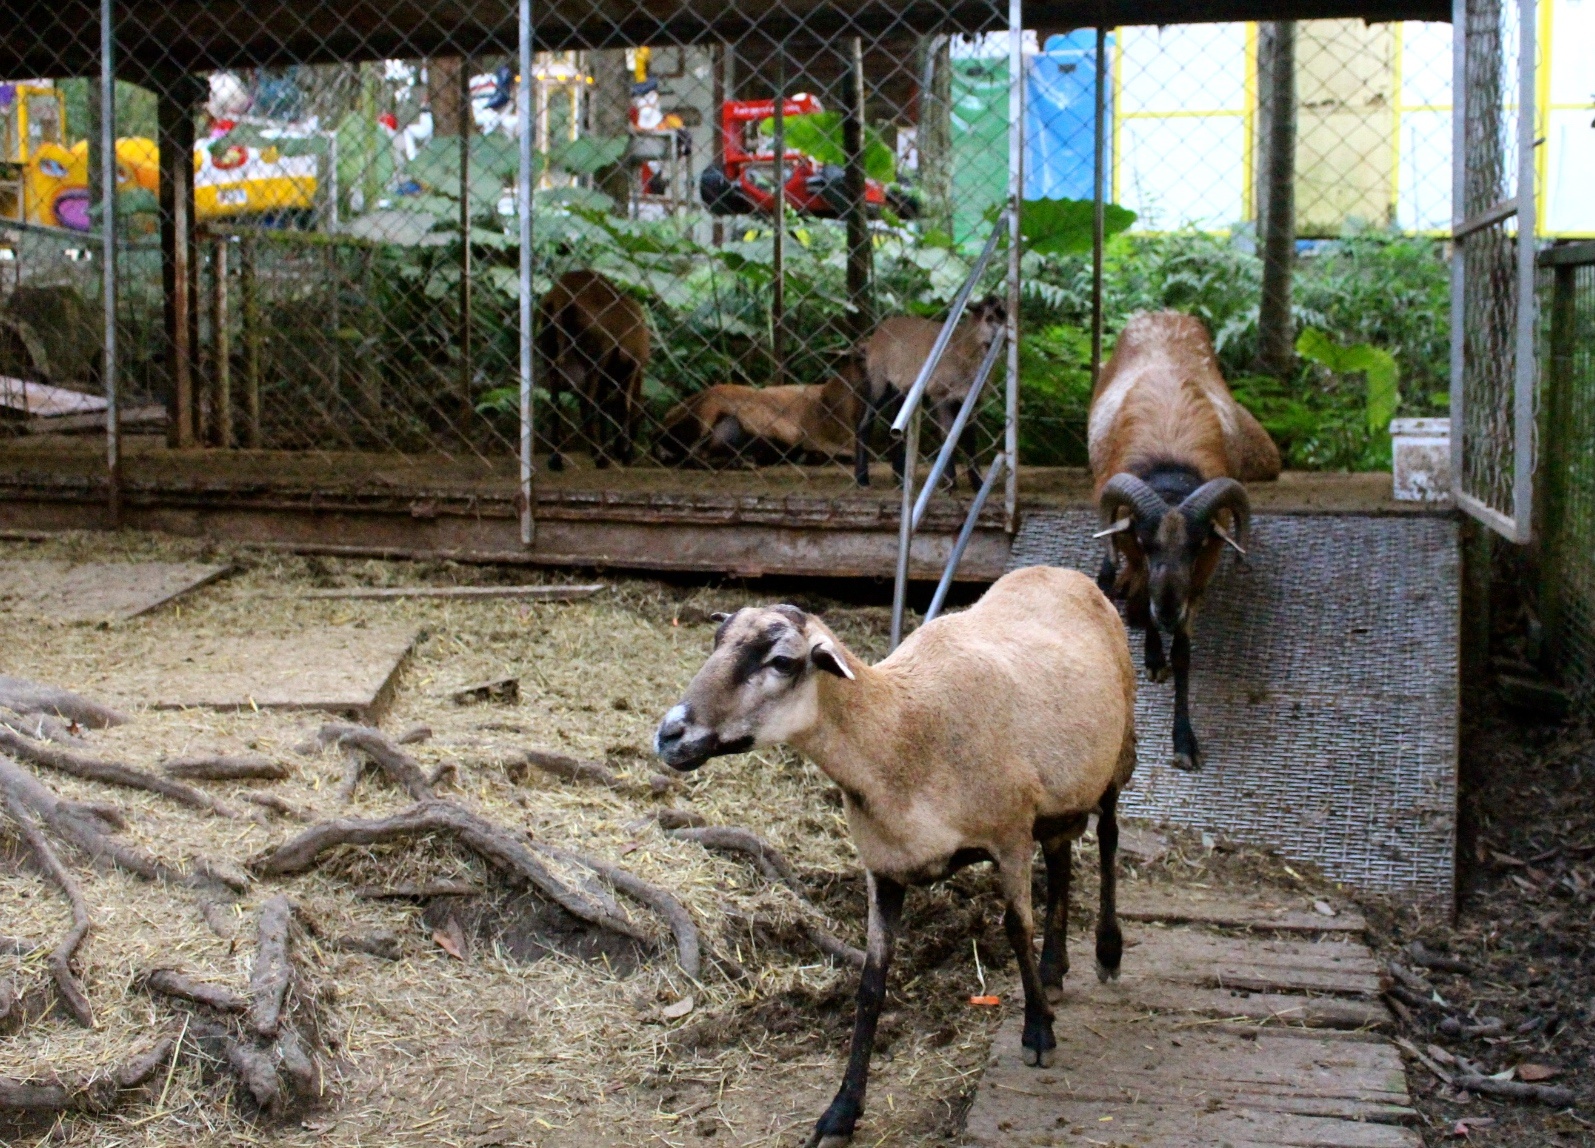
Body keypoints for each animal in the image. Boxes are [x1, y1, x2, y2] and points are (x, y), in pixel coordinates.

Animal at [539, 271, 650, 468]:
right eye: (640, 421)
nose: (630, 457)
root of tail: (560, 295)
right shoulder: (631, 367)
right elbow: (624, 406)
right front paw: (620, 452)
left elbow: (605, 408)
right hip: (595, 359)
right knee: (586, 404)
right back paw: (599, 458)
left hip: (550, 355)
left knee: (555, 402)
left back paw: (555, 460)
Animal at [653, 570, 1142, 1148]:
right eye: (716, 641)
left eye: (782, 661)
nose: (669, 734)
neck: (899, 732)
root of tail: (1062, 572)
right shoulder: (884, 866)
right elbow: (871, 980)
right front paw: (841, 1111)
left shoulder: (1009, 834)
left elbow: (1016, 929)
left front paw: (1038, 1034)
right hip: (1060, 793)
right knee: (1063, 856)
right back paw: (1053, 970)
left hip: (1118, 753)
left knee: (1108, 838)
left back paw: (1106, 951)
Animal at [1084, 309, 1282, 771]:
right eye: (1145, 540)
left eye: (1198, 545)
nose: (1171, 611)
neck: (1170, 466)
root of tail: (1160, 313)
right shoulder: (1137, 556)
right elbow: (1142, 597)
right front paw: (1153, 655)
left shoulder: (1200, 580)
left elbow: (1184, 655)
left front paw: (1184, 741)